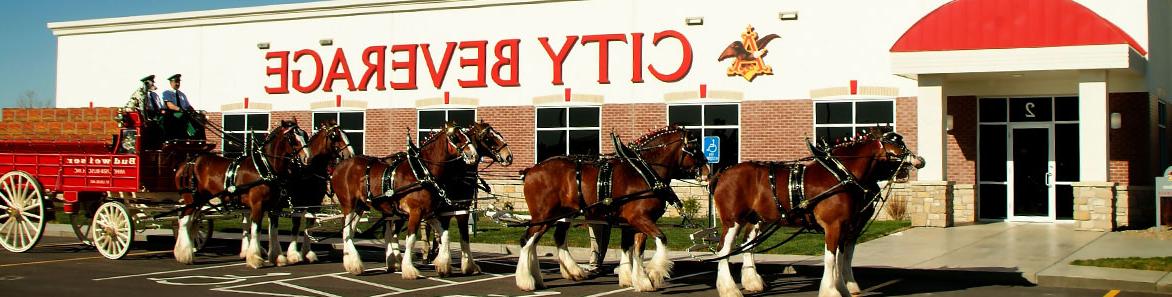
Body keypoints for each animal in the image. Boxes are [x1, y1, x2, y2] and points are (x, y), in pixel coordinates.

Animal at [707, 130, 918, 297]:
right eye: (897, 143)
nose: (919, 161)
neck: (840, 175)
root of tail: (723, 173)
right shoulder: (834, 225)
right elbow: (831, 258)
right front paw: (831, 291)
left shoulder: (847, 227)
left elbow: (842, 258)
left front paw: (844, 288)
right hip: (732, 220)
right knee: (724, 250)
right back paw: (730, 290)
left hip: (755, 218)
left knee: (746, 246)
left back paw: (752, 282)